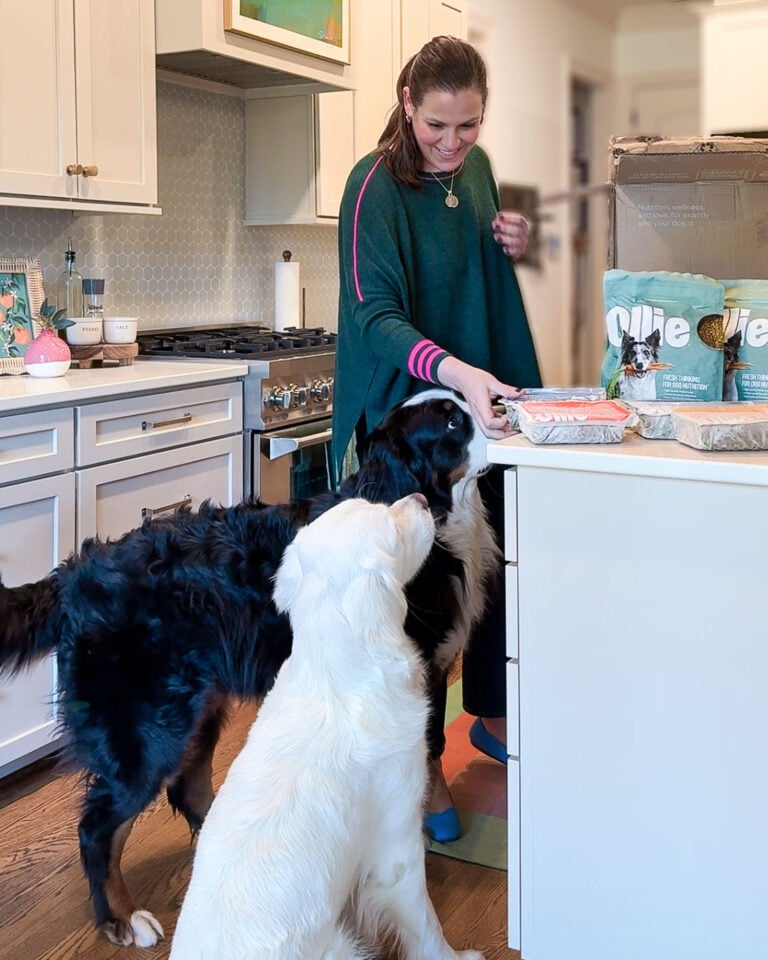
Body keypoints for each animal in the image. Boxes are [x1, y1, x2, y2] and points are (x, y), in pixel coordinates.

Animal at [170, 496, 484, 960]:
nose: (422, 499)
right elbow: (426, 925)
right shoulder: (397, 847)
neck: (337, 673)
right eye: (392, 525)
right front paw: (456, 956)